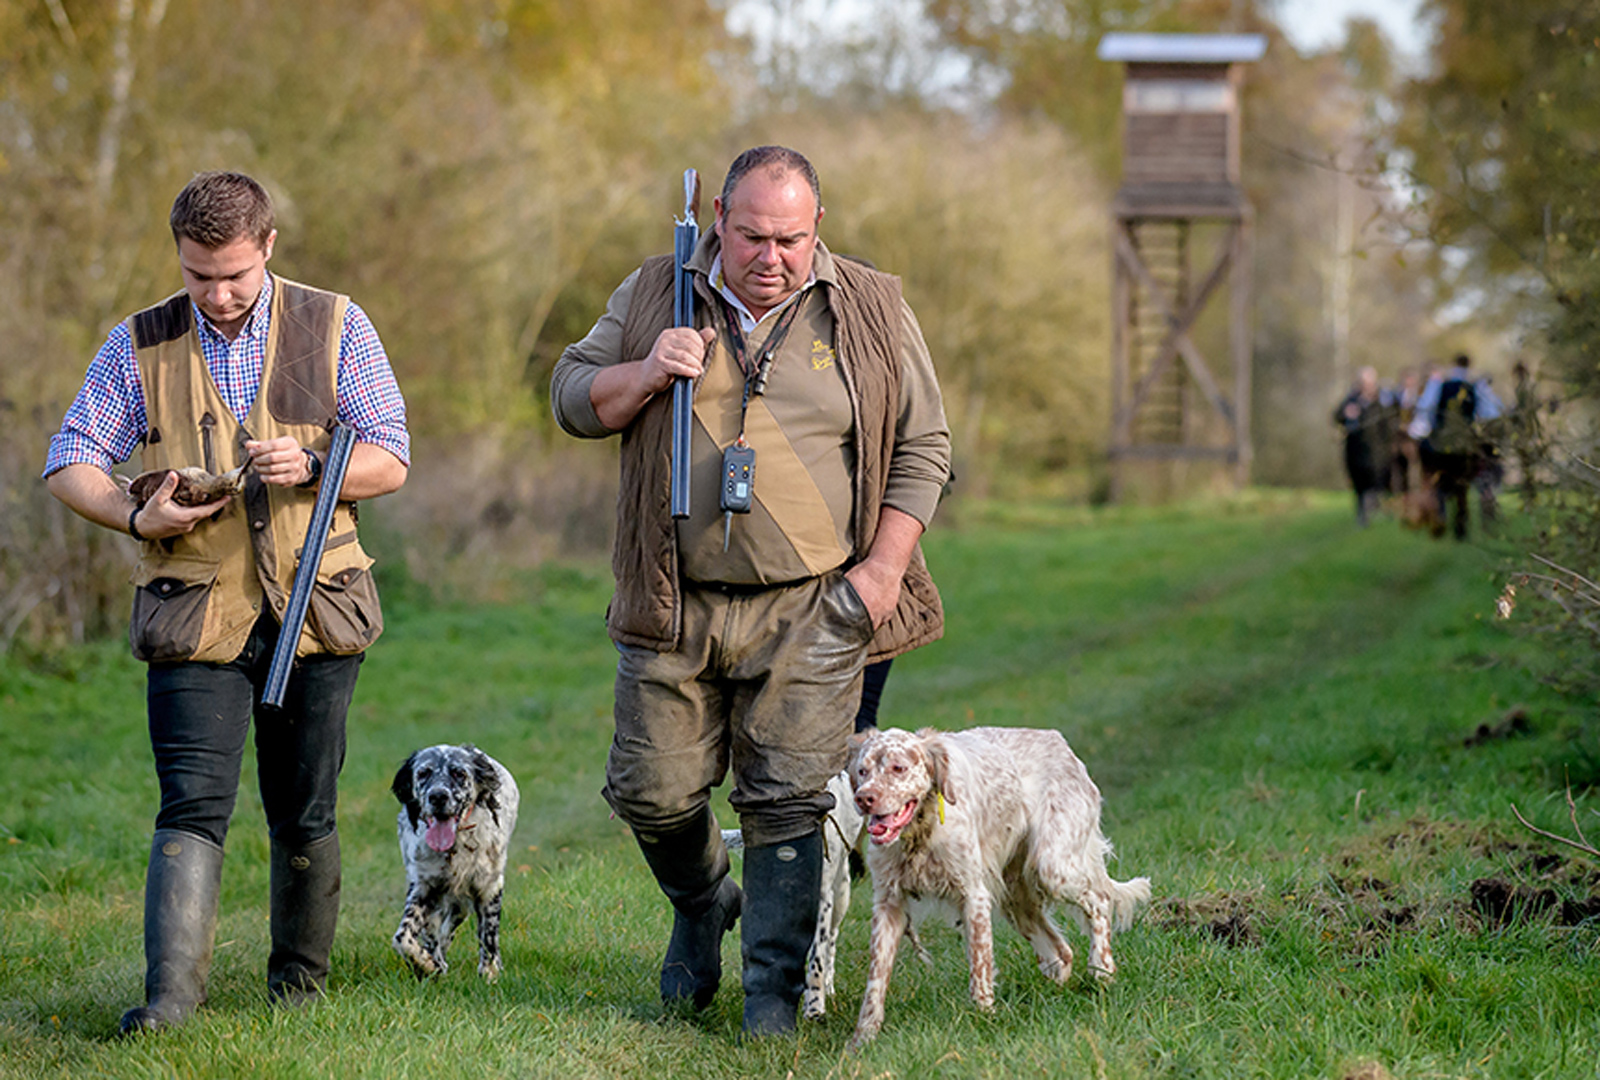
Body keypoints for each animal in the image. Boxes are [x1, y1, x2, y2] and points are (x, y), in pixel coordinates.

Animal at [388, 742, 518, 979]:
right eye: (423, 773)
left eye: (459, 773)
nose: (438, 796)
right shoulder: (423, 885)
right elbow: (402, 938)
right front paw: (427, 963)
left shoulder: (489, 886)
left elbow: (489, 935)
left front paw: (491, 973)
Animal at [851, 726, 1152, 1049]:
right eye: (862, 771)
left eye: (898, 768)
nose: (863, 798)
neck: (920, 831)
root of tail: (1061, 743)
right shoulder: (888, 904)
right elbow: (875, 979)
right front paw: (862, 1039)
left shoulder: (974, 895)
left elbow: (980, 965)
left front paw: (984, 1017)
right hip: (1015, 897)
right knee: (1060, 951)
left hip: (1052, 866)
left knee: (1099, 900)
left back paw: (1102, 970)